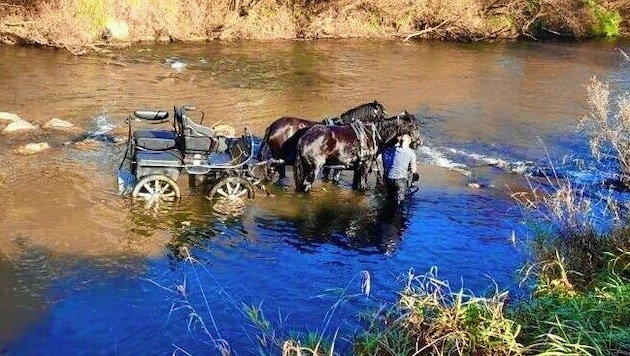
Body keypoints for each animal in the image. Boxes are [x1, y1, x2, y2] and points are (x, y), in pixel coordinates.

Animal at [294, 111, 422, 193]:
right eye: (415, 127)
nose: (419, 143)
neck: (372, 134)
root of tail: (303, 138)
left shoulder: (357, 167)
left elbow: (356, 186)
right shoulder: (366, 164)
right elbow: (362, 186)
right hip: (312, 169)